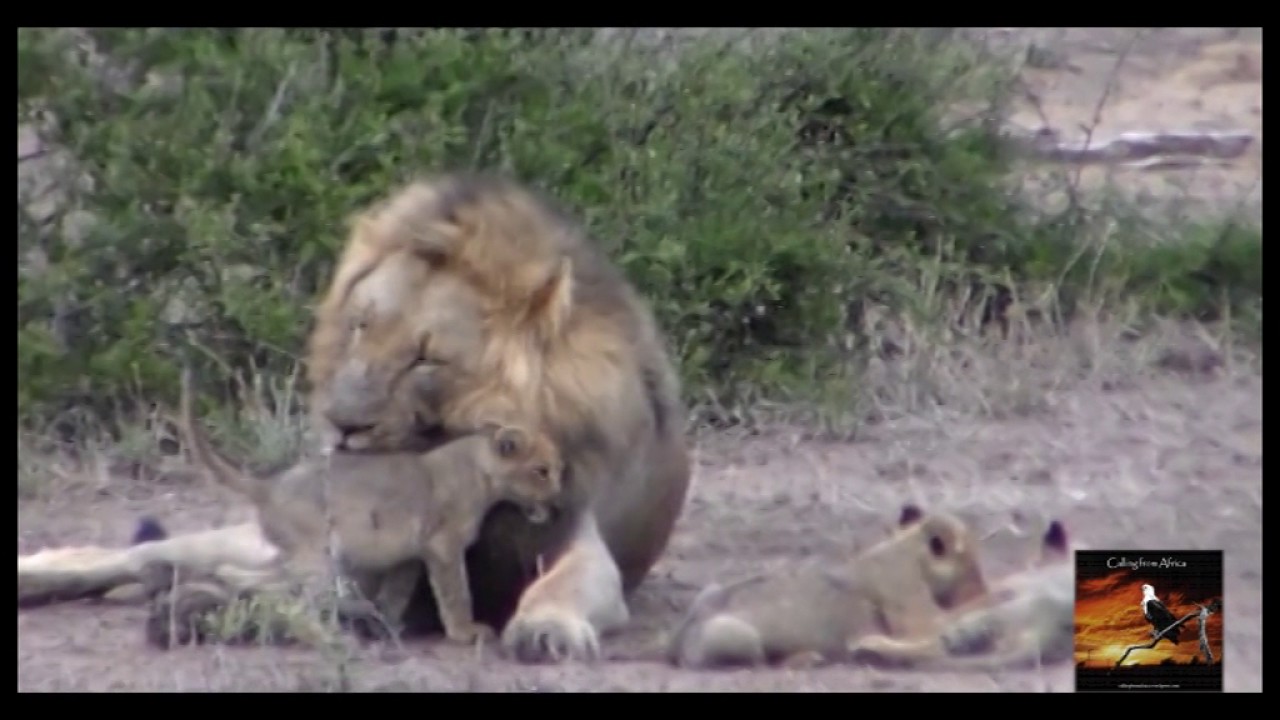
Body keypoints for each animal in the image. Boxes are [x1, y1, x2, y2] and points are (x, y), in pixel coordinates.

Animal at [176, 364, 566, 645]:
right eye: (542, 471)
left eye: (555, 470)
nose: (559, 495)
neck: (479, 471)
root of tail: (268, 486)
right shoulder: (442, 546)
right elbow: (456, 593)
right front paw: (465, 633)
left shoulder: (410, 555)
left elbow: (397, 593)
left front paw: (386, 624)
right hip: (318, 559)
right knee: (298, 604)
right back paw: (330, 638)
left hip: (295, 558)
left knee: (247, 576)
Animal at [665, 504, 990, 669]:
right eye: (972, 567)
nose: (983, 592)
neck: (905, 549)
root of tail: (675, 642)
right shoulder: (909, 606)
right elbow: (937, 629)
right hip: (735, 635)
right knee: (758, 662)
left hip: (711, 590)